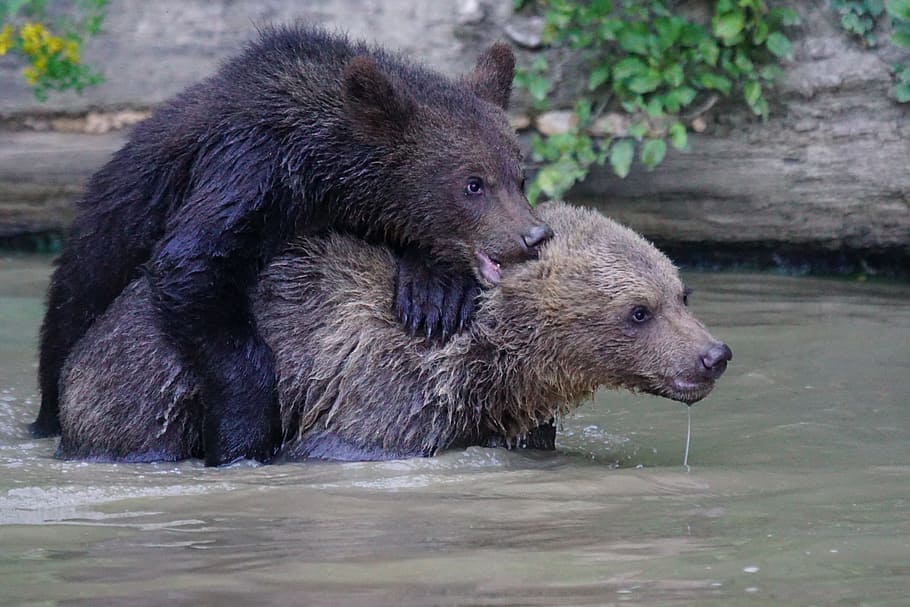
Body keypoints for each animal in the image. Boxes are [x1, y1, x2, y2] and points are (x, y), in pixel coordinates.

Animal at [33, 24, 553, 466]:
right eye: (473, 183)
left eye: (519, 175)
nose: (533, 236)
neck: (323, 168)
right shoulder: (247, 164)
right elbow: (192, 262)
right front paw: (243, 433)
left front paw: (435, 295)